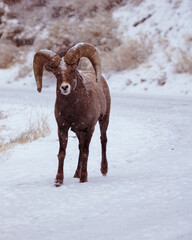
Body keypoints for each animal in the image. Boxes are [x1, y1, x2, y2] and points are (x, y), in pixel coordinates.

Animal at [33, 43, 111, 186]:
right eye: (57, 73)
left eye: (72, 70)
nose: (65, 87)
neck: (74, 110)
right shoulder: (63, 128)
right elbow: (62, 153)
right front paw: (58, 180)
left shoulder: (89, 128)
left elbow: (86, 152)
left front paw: (83, 179)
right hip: (78, 132)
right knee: (80, 147)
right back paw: (76, 173)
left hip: (104, 119)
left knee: (103, 140)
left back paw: (103, 170)